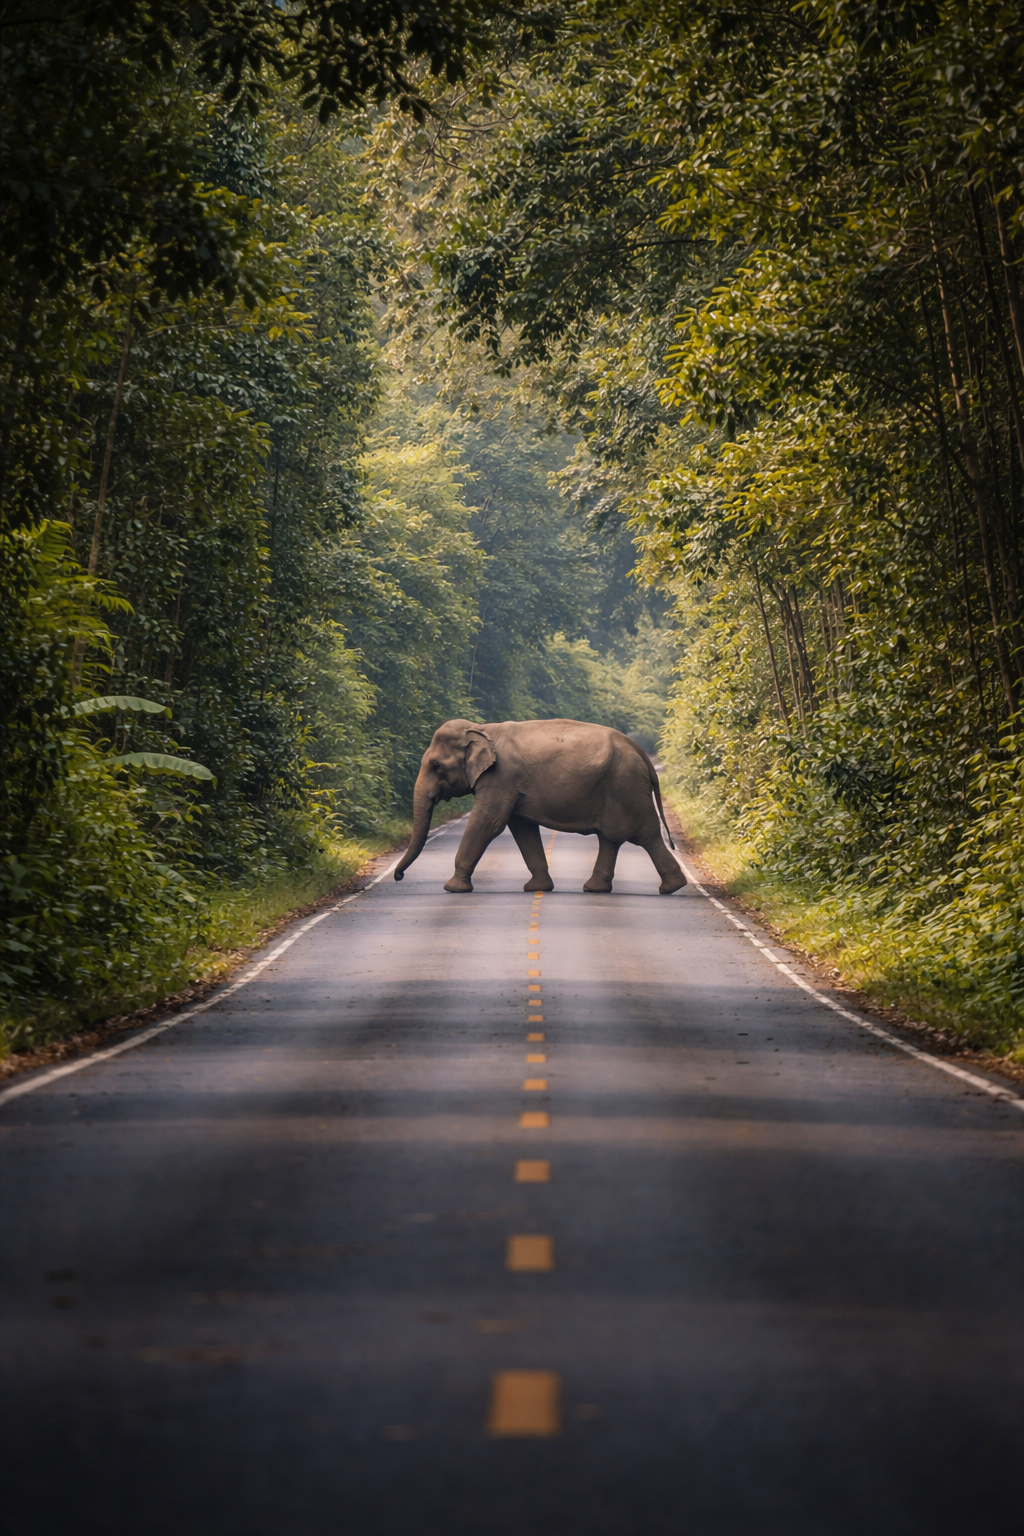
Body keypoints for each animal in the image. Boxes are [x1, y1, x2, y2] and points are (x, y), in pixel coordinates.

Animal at [393, 717, 687, 895]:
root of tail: (641, 752)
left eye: (436, 765)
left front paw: (452, 888)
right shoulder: (512, 785)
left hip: (625, 787)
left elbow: (488, 823)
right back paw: (599, 889)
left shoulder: (501, 778)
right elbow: (522, 828)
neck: (482, 728)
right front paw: (538, 888)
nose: (398, 877)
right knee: (614, 838)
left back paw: (670, 888)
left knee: (644, 836)